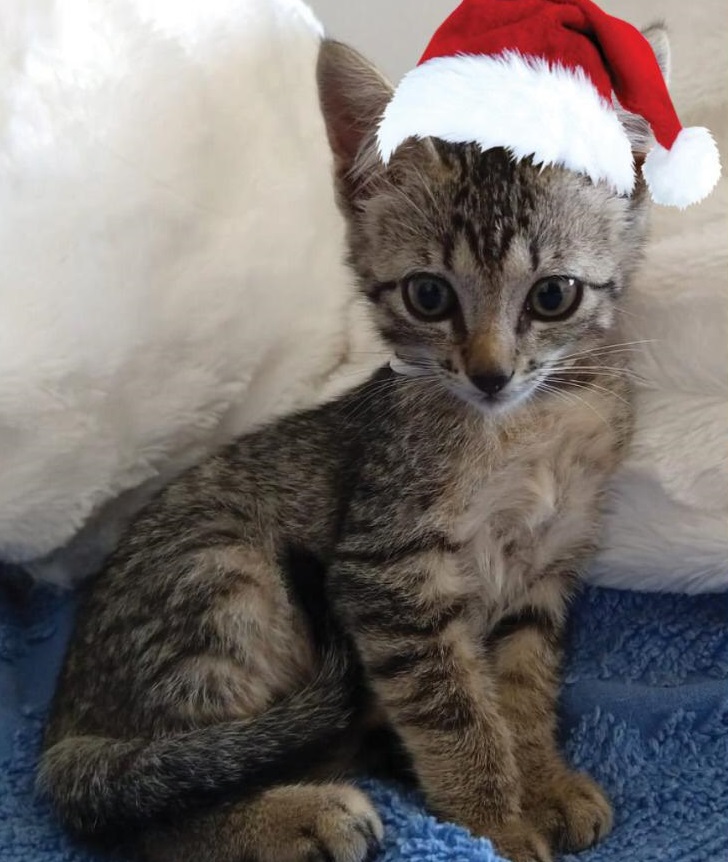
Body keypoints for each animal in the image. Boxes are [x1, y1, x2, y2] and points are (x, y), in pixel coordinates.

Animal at [37, 37, 660, 862]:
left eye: (552, 295)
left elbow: (523, 689)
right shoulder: (387, 574)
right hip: (225, 578)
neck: (530, 428)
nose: (491, 373)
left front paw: (542, 780)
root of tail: (65, 723)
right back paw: (297, 817)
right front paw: (494, 825)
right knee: (151, 814)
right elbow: (456, 714)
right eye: (428, 295)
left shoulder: (544, 575)